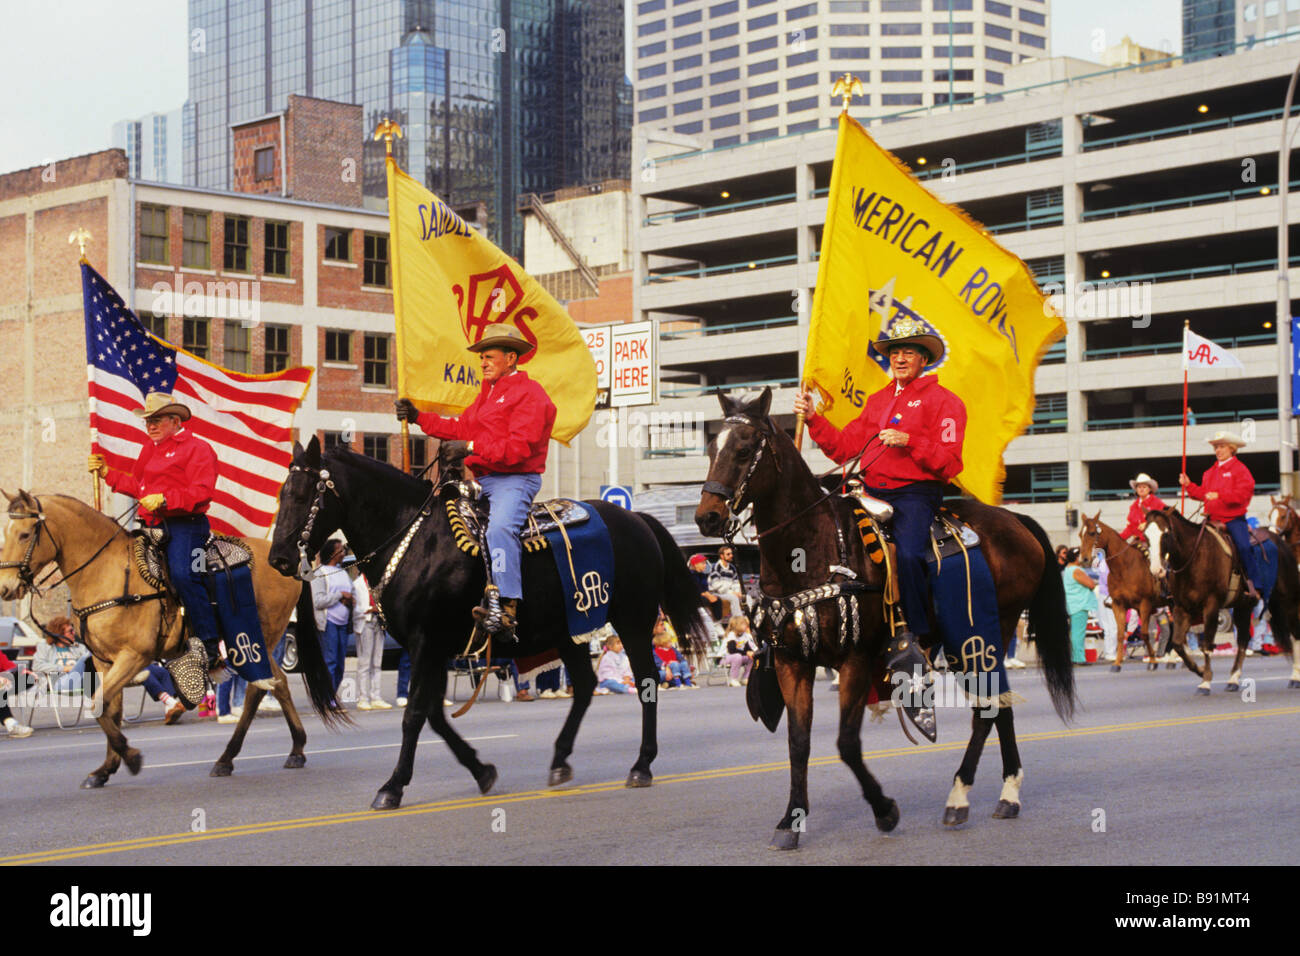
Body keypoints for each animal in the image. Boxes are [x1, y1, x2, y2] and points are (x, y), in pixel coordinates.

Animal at [0, 489, 343, 790]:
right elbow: (110, 709)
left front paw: (131, 757)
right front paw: (105, 769)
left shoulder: (134, 656)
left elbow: (98, 704)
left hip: (254, 640)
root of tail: (287, 563)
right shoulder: (104, 661)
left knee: (259, 689)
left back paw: (230, 757)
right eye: (6, 532)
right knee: (279, 683)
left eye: (26, 534)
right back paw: (291, 750)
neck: (105, 571)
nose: (6, 587)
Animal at [266, 437, 712, 811]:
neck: (414, 538)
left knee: (647, 683)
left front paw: (392, 786)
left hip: (633, 621)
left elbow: (415, 715)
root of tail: (636, 519)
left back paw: (642, 764)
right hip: (568, 629)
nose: (279, 558)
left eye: (303, 494)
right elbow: (433, 714)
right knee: (586, 685)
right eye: (282, 492)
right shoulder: (430, 648)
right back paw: (560, 759)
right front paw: (481, 771)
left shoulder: (428, 643)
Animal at [696, 390, 1081, 853]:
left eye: (744, 448)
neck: (811, 548)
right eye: (711, 448)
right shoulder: (793, 662)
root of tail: (1014, 520)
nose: (707, 517)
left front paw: (884, 810)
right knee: (998, 705)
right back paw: (1008, 795)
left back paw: (959, 797)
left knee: (987, 710)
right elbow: (798, 742)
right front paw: (791, 820)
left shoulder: (856, 659)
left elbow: (846, 742)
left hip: (984, 634)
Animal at [1144, 509, 1294, 697]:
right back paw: (1233, 679)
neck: (1195, 557)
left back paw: (1295, 678)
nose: (1156, 570)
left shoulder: (1211, 606)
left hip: (1287, 599)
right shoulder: (1182, 609)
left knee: (1294, 634)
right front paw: (1200, 670)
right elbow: (1178, 644)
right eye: (1146, 535)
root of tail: (1279, 540)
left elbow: (1207, 644)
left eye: (1165, 534)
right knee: (1244, 639)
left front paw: (1205, 682)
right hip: (1243, 606)